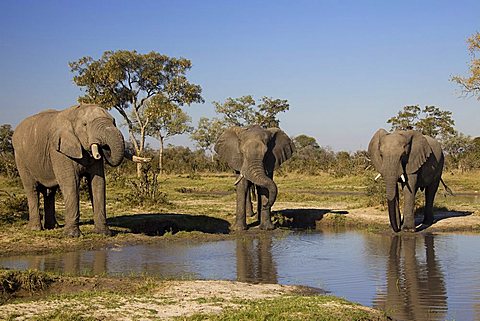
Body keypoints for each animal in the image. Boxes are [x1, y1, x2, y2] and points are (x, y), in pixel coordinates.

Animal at [12, 104, 148, 236]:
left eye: (114, 122)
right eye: (85, 125)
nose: (104, 148)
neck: (75, 112)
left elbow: (98, 182)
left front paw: (104, 233)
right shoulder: (58, 150)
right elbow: (71, 183)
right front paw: (72, 235)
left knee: (50, 192)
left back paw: (52, 227)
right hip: (20, 159)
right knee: (32, 189)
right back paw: (35, 229)